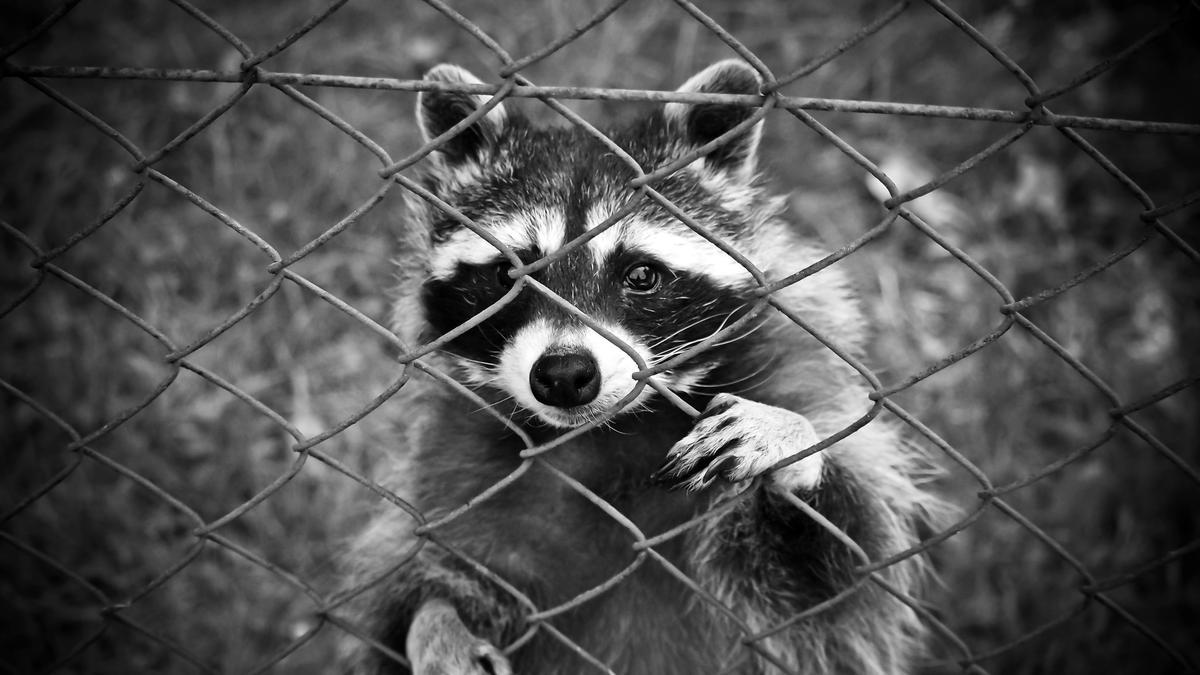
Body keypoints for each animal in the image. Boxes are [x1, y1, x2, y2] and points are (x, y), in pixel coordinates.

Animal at [340, 60, 945, 667]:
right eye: (509, 274)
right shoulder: (452, 469)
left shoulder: (796, 375)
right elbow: (420, 589)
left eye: (641, 275)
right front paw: (436, 624)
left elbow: (837, 583)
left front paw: (790, 442)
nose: (564, 376)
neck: (608, 437)